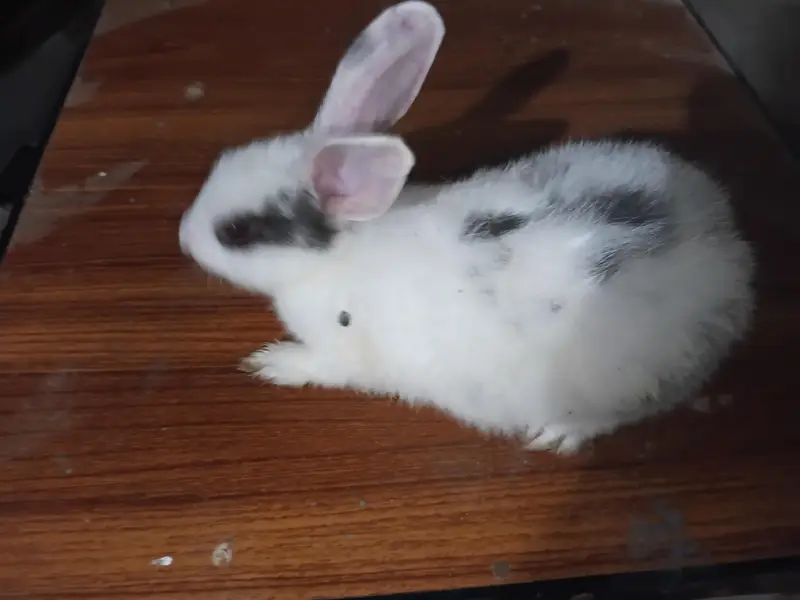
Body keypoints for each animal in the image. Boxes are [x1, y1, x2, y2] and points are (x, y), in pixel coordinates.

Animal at [178, 1, 755, 453]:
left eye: (236, 231)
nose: (184, 236)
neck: (339, 256)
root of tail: (725, 251)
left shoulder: (343, 352)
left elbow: (318, 365)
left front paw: (270, 363)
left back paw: (557, 434)